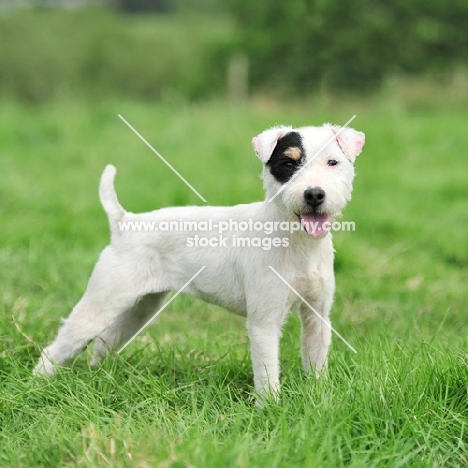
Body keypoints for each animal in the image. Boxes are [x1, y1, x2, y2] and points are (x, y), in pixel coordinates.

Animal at [34, 124, 366, 402]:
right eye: (288, 164)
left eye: (333, 163)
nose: (314, 194)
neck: (297, 241)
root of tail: (123, 223)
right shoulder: (264, 321)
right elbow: (267, 372)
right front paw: (270, 408)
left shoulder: (317, 316)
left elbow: (316, 362)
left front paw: (319, 397)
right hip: (101, 302)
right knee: (58, 347)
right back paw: (37, 384)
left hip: (141, 308)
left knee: (104, 341)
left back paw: (99, 377)